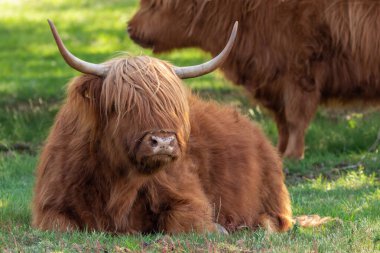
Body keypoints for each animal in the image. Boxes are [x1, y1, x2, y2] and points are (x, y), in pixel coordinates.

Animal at [32, 20, 296, 233]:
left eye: (174, 107)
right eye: (120, 105)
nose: (163, 142)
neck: (118, 181)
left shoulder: (188, 198)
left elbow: (182, 223)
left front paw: (220, 228)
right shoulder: (50, 205)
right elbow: (62, 226)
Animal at [128, 0, 380, 159]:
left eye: (156, 4)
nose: (130, 28)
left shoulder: (299, 72)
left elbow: (295, 117)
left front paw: (293, 154)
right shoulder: (275, 80)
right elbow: (282, 121)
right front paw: (279, 151)